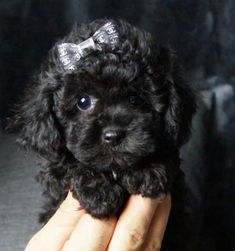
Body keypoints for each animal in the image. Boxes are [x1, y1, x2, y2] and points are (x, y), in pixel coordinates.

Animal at [12, 19, 196, 249]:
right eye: (83, 102)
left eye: (135, 99)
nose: (113, 135)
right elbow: (67, 166)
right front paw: (98, 191)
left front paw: (148, 170)